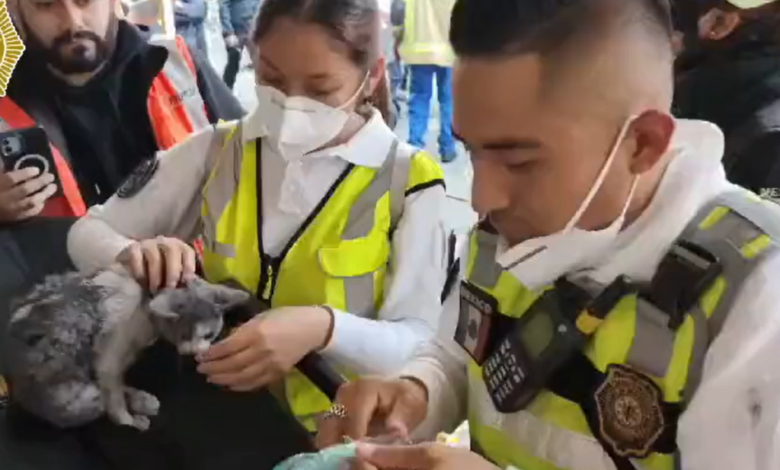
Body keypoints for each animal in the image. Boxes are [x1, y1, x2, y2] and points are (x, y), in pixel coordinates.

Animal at [5, 266, 250, 432]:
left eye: (209, 335)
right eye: (184, 335)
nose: (193, 352)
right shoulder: (109, 356)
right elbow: (114, 399)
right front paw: (127, 420)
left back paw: (143, 400)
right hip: (75, 396)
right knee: (99, 399)